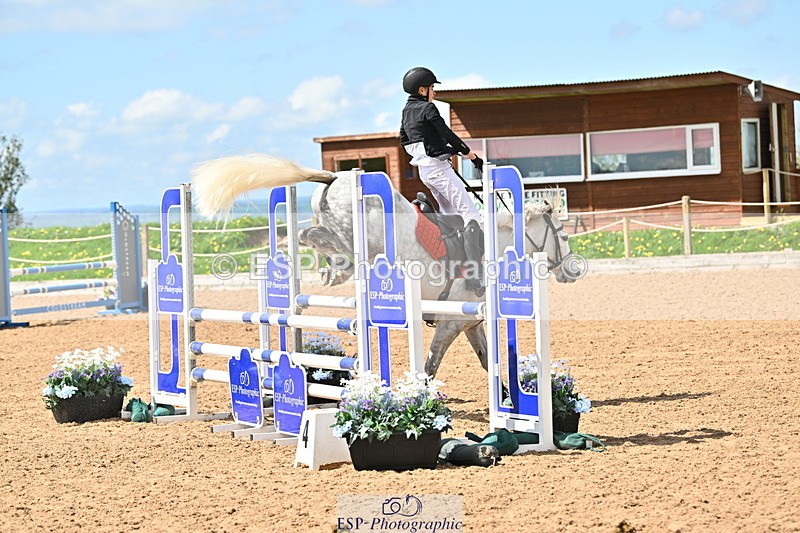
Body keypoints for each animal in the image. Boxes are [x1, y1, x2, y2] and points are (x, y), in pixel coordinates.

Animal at [191, 154, 582, 378]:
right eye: (563, 234)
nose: (573, 272)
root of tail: (335, 177)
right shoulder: (451, 323)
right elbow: (430, 365)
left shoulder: (469, 323)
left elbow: (488, 362)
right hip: (360, 232)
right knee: (328, 241)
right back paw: (334, 267)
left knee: (308, 233)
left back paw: (328, 267)